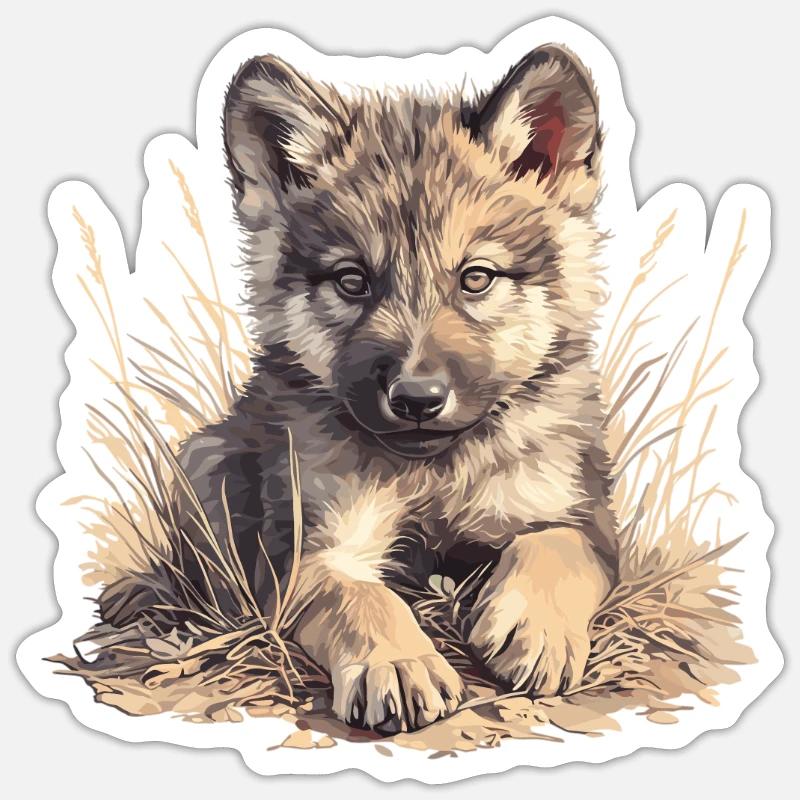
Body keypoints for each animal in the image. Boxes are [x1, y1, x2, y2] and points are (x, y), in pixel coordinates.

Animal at [171, 44, 617, 734]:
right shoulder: (308, 549)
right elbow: (358, 596)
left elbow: (554, 547)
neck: (433, 474)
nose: (416, 401)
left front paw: (536, 627)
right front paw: (398, 661)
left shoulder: (578, 513)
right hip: (205, 460)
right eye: (352, 281)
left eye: (476, 278)